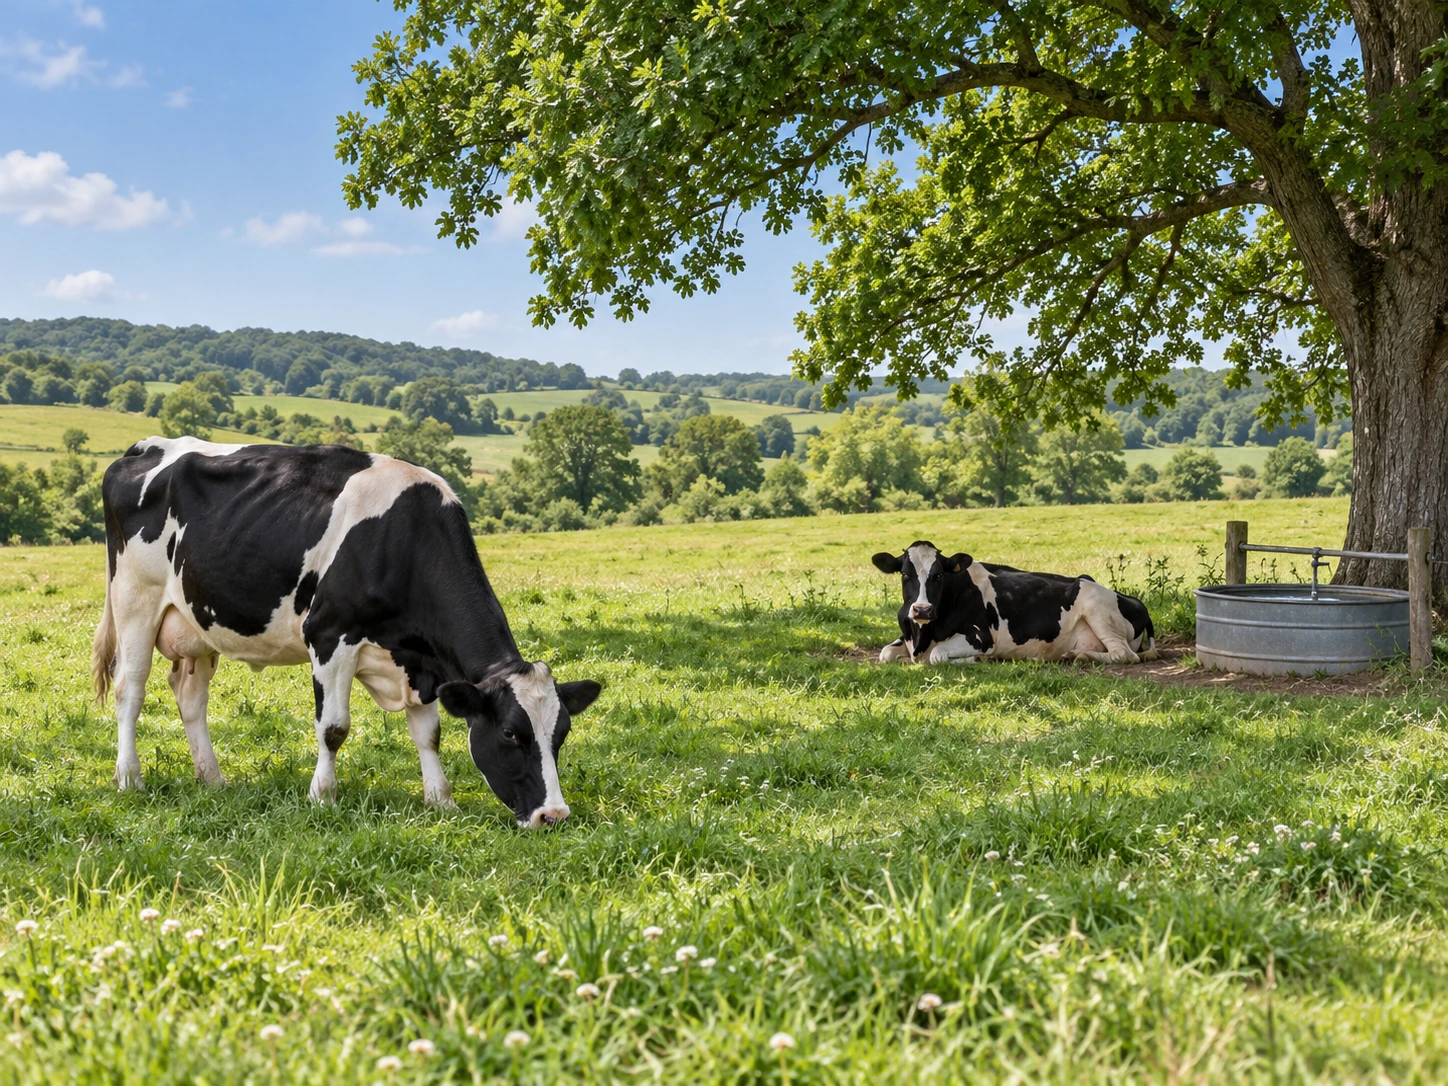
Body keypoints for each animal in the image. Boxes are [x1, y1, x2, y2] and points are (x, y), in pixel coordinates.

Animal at [91, 436, 601, 828]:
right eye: (512, 734)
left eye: (561, 733)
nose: (553, 816)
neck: (404, 538)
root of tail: (145, 447)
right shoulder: (330, 635)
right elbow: (334, 728)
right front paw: (322, 797)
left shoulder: (420, 662)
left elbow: (429, 733)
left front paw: (441, 800)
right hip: (135, 599)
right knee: (130, 688)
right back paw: (129, 778)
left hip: (196, 621)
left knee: (189, 695)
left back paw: (213, 779)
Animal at [872, 540, 1157, 665]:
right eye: (905, 574)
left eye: (938, 575)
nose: (922, 609)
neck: (923, 635)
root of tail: (1134, 600)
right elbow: (885, 653)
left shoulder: (981, 637)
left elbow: (938, 655)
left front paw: (975, 660)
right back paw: (1075, 653)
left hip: (1097, 607)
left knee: (1124, 654)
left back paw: (1079, 656)